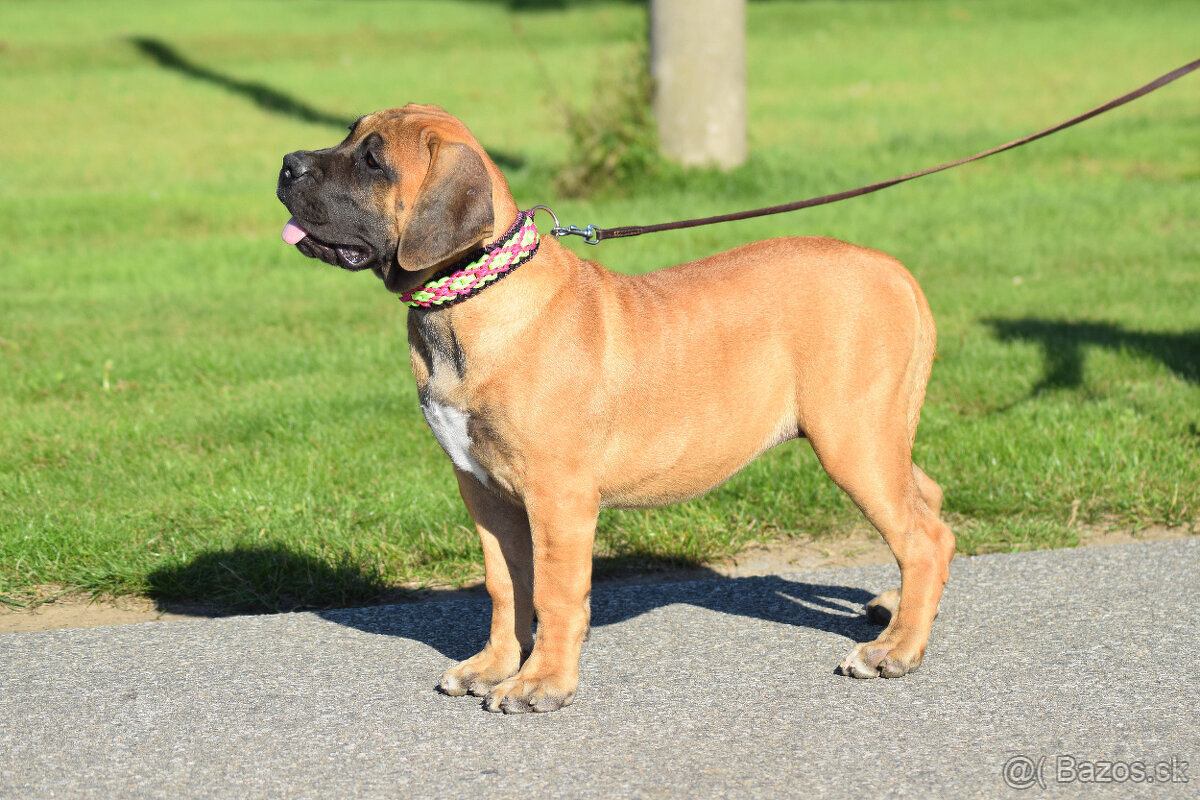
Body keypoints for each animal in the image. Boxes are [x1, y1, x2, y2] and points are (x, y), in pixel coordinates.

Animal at [274, 104, 955, 714]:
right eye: (349, 135)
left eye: (374, 160)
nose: (286, 164)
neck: (473, 294)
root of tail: (894, 270)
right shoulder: (483, 489)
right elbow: (505, 585)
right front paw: (493, 665)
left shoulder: (558, 496)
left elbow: (554, 593)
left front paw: (540, 683)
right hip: (877, 434)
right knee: (929, 502)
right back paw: (896, 610)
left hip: (853, 436)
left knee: (924, 536)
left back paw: (894, 649)